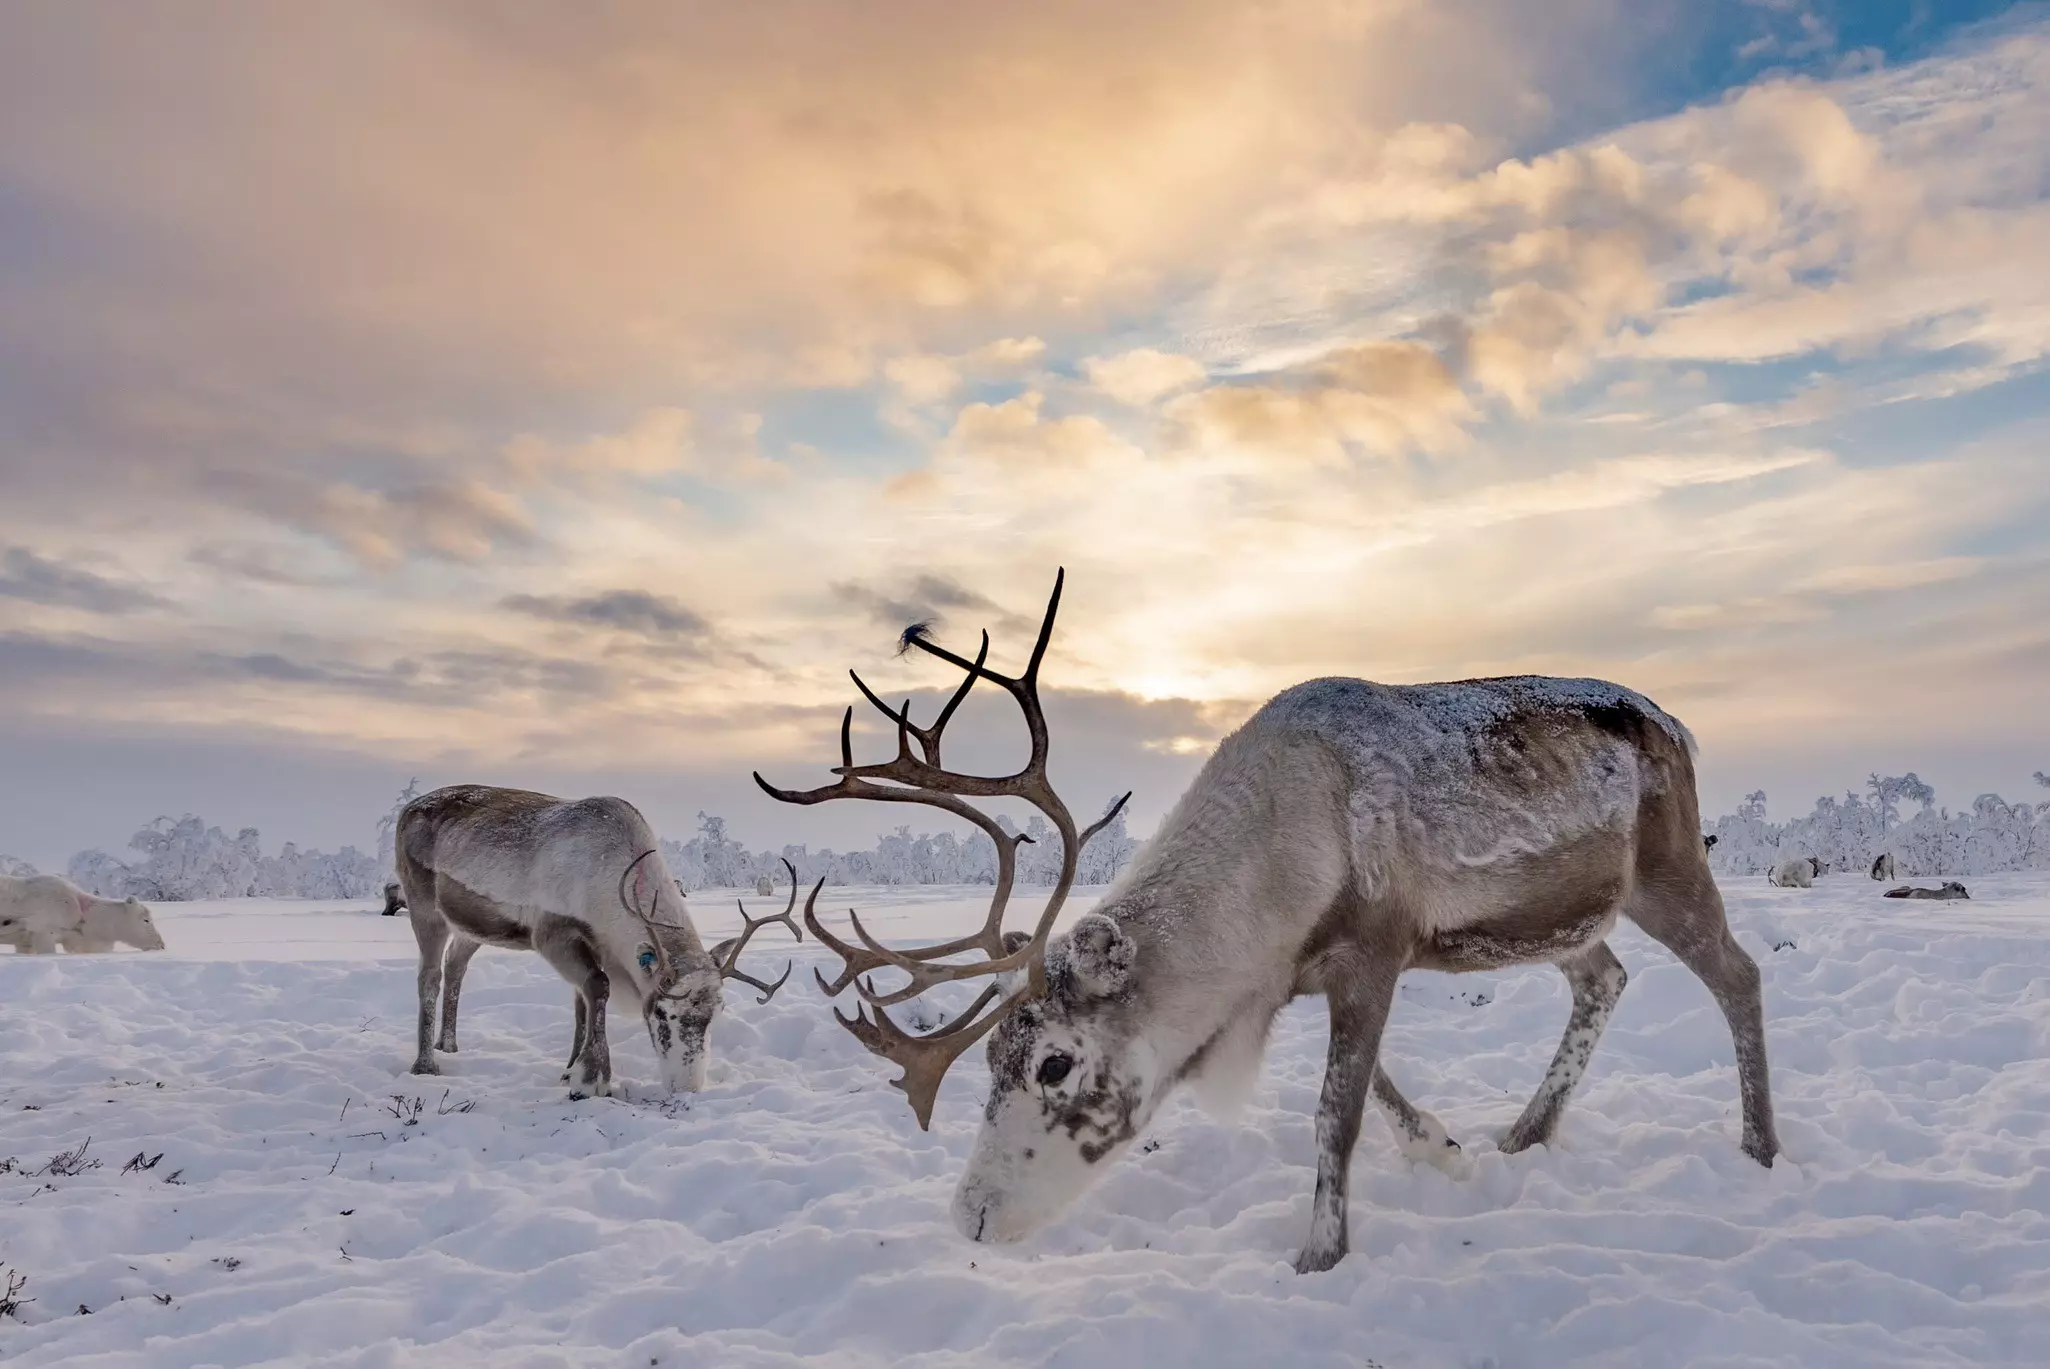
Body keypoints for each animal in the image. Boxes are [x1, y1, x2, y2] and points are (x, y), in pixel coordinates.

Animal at [394, 786, 799, 1098]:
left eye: (717, 1012)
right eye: (660, 1013)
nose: (687, 1087)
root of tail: (406, 809)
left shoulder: (597, 945)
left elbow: (582, 1003)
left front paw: (570, 1068)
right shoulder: (552, 933)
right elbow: (598, 988)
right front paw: (592, 1077)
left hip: (472, 926)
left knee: (456, 966)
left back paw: (448, 1045)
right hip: (423, 905)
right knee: (429, 976)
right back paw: (425, 1063)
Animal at [756, 570, 1779, 1274]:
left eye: (1053, 1062)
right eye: (992, 1058)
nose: (971, 1214)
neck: (1272, 864)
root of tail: (1678, 724)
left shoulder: (1374, 951)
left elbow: (1336, 1112)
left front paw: (1318, 1256)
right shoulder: (1297, 974)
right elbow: (1378, 1093)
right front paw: (1446, 1148)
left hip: (1668, 868)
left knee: (1738, 973)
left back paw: (1761, 1146)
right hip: (1568, 918)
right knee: (1604, 978)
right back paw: (1523, 1134)